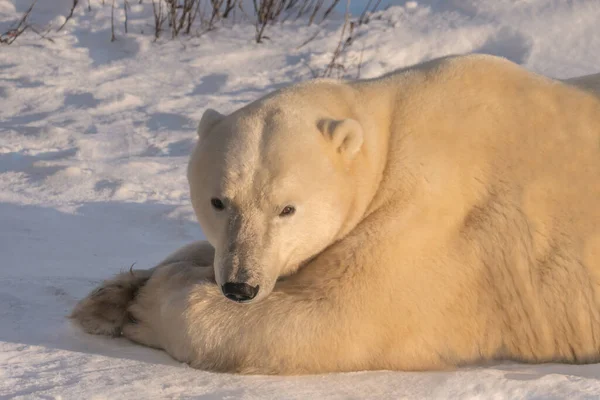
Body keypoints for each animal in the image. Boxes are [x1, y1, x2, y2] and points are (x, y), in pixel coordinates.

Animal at [70, 54, 600, 376]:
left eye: (287, 208)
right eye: (219, 201)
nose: (240, 286)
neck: (386, 137)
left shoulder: (436, 221)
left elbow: (337, 318)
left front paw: (145, 304)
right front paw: (112, 294)